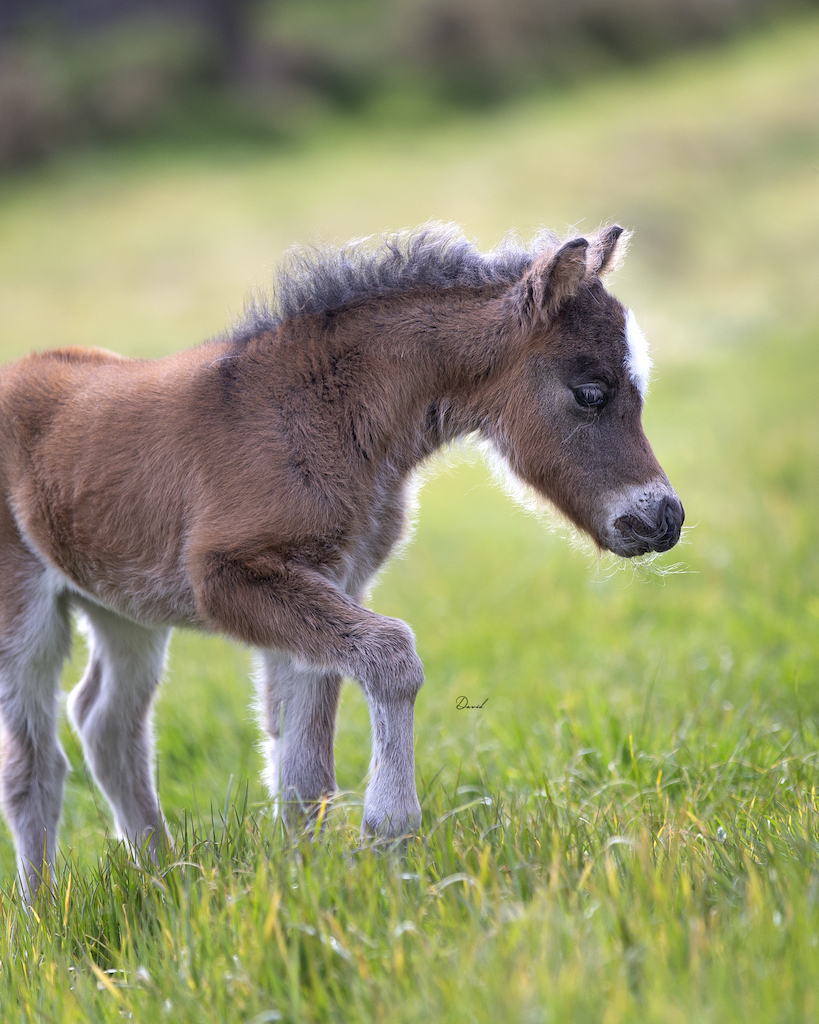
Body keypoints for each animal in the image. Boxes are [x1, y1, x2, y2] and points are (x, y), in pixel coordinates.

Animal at [0, 223, 683, 898]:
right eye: (590, 393)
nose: (664, 519)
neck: (325, 412)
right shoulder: (227, 577)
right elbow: (391, 656)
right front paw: (388, 828)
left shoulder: (334, 580)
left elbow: (303, 768)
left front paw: (306, 886)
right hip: (22, 610)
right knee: (33, 767)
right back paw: (45, 912)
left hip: (124, 607)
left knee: (107, 724)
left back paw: (166, 879)